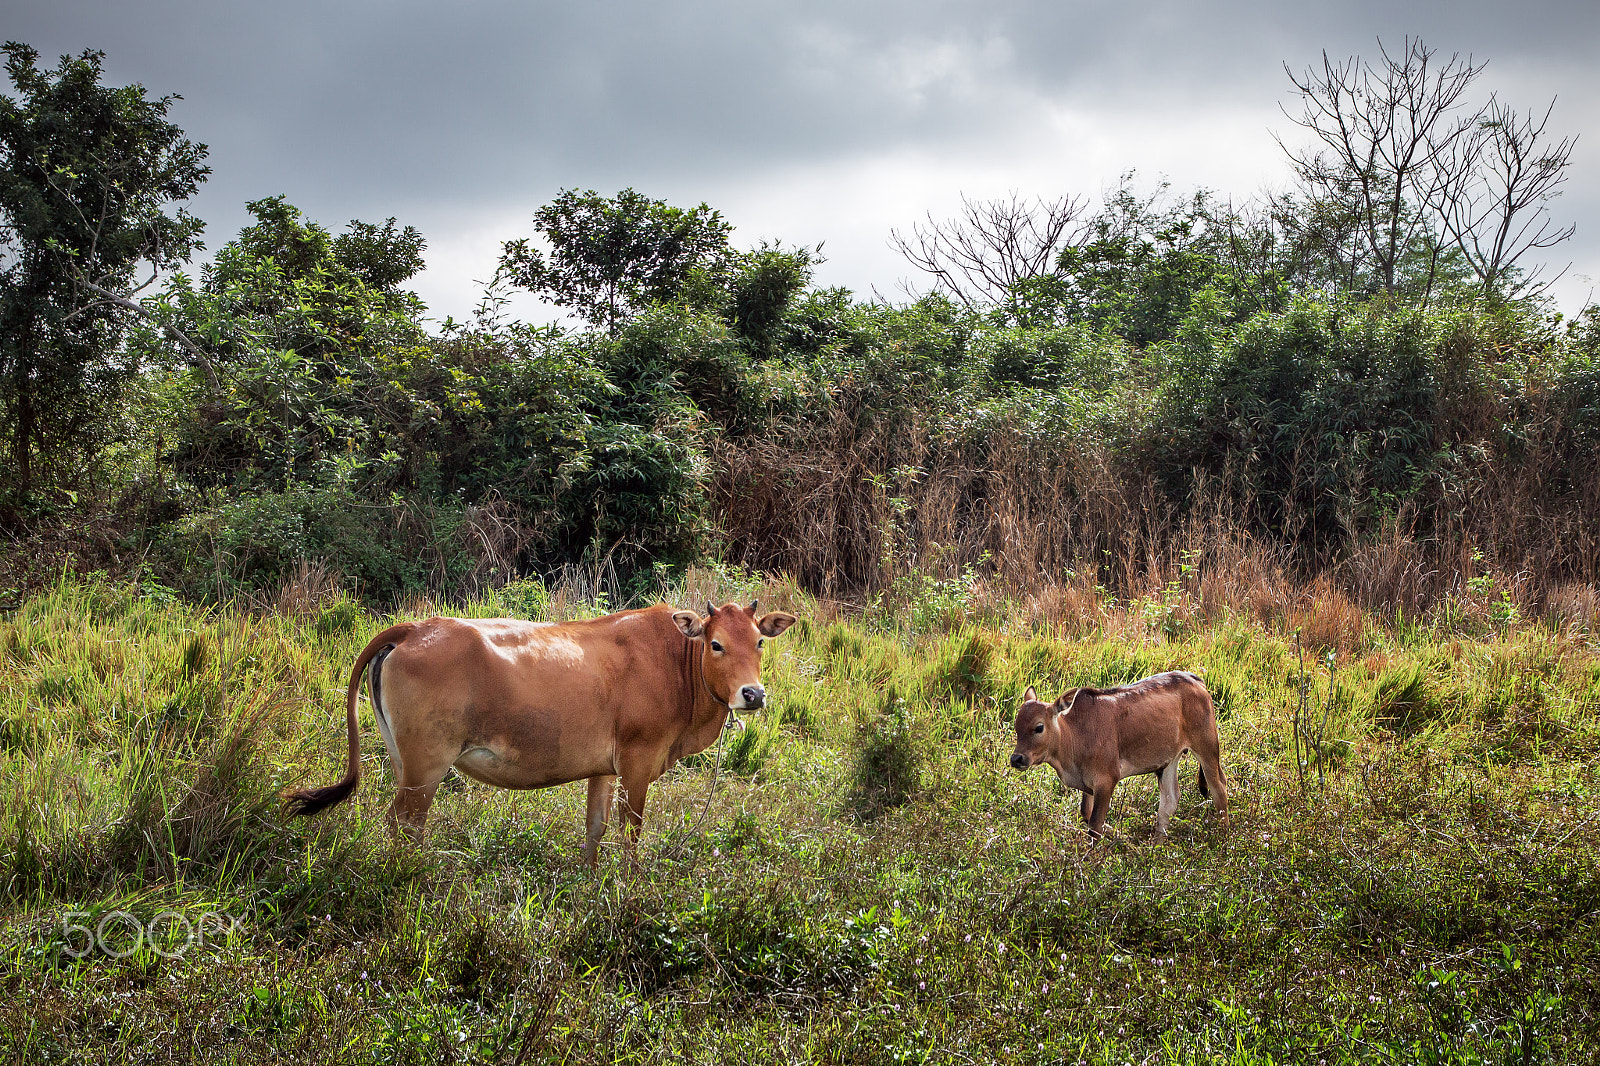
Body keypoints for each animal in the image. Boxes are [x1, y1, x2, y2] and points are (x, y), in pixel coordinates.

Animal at [283, 600, 797, 865]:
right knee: (405, 823)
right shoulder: (638, 763)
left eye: (759, 641)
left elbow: (595, 828)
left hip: (402, 759)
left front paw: (589, 883)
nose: (753, 694)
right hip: (426, 765)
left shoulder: (605, 767)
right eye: (716, 644)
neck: (675, 660)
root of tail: (415, 627)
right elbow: (631, 834)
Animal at [1008, 671, 1228, 842]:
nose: (1016, 759)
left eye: (1039, 727)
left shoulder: (1106, 780)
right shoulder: (1088, 785)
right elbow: (1086, 814)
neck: (1074, 733)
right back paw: (1155, 847)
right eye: (1017, 725)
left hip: (1206, 746)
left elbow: (1095, 825)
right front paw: (1124, 838)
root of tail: (1195, 679)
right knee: (1169, 801)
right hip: (1168, 760)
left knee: (1219, 789)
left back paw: (1225, 839)